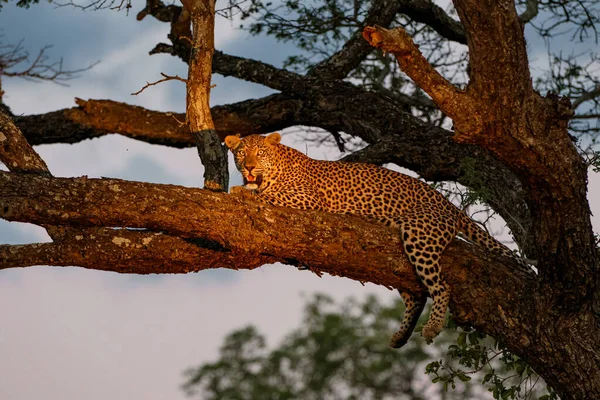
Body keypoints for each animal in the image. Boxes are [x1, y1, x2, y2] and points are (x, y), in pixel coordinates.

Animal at [224, 133, 528, 348]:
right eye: (241, 153)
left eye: (260, 153)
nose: (249, 167)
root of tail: (448, 203)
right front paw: (243, 187)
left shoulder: (308, 198)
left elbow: (268, 195)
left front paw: (241, 191)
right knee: (417, 295)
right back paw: (400, 337)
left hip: (420, 234)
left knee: (441, 286)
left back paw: (432, 327)